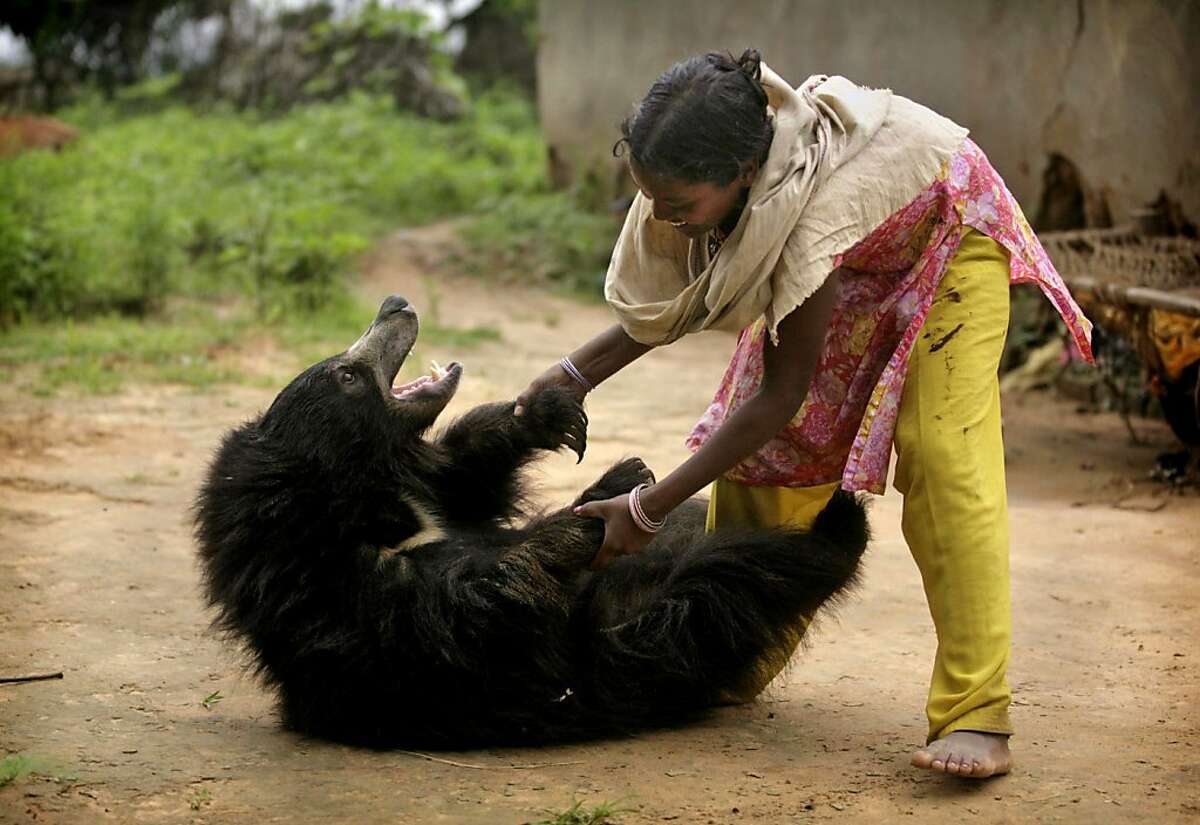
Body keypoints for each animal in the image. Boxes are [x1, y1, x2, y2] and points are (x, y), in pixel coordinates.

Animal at [194, 294, 869, 747]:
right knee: (737, 579)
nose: (396, 304)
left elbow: (473, 484)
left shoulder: (431, 499)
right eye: (348, 374)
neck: (370, 497)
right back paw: (842, 521)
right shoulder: (366, 617)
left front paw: (550, 415)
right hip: (645, 640)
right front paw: (594, 516)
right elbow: (481, 602)